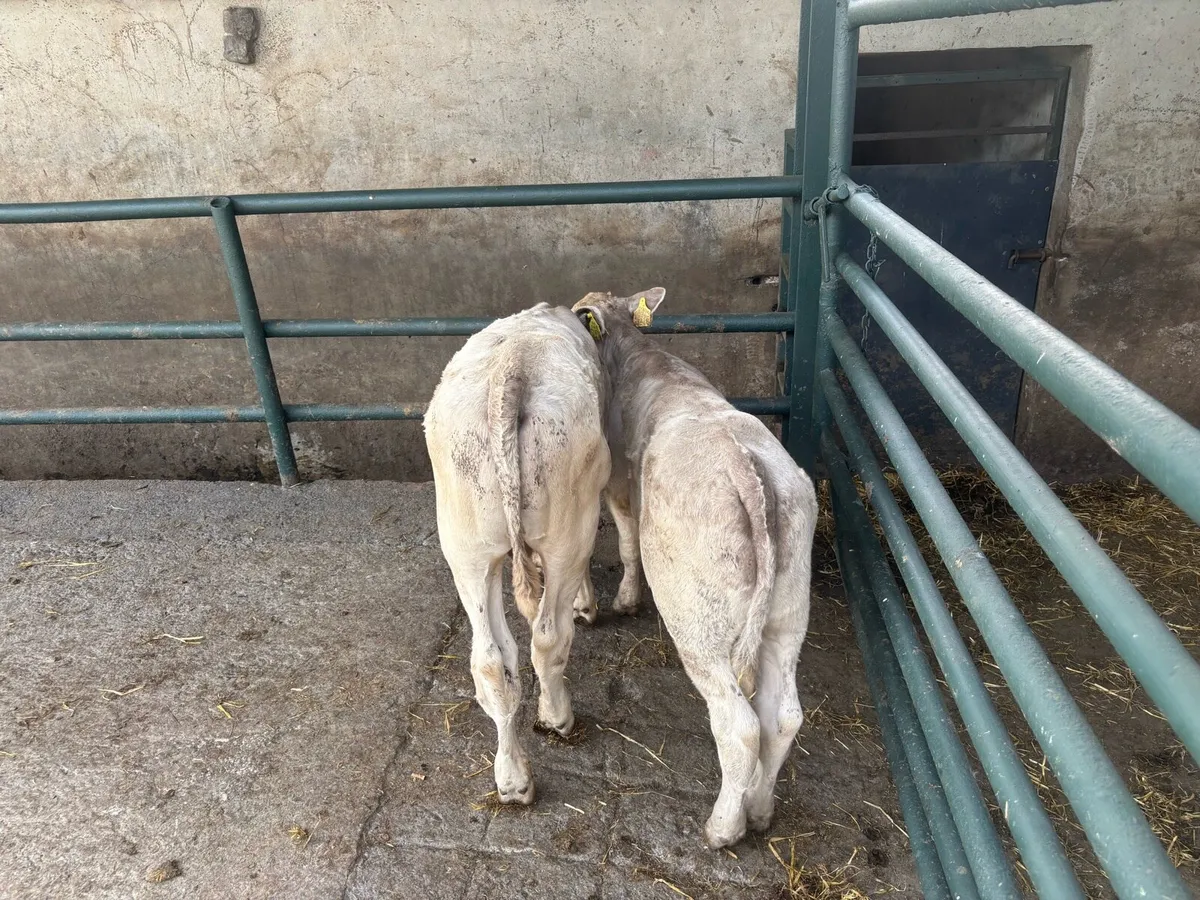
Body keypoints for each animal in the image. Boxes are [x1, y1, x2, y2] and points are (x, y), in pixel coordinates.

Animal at [424, 303, 611, 805]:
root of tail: (510, 374)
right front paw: (586, 603)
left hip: (466, 546)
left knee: (491, 660)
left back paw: (511, 777)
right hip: (568, 530)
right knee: (547, 637)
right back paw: (557, 717)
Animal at [571, 287, 817, 849]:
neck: (635, 351)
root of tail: (747, 466)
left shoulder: (619, 480)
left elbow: (627, 539)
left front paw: (625, 600)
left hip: (699, 624)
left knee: (739, 726)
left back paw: (724, 826)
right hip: (788, 611)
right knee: (783, 717)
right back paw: (760, 809)